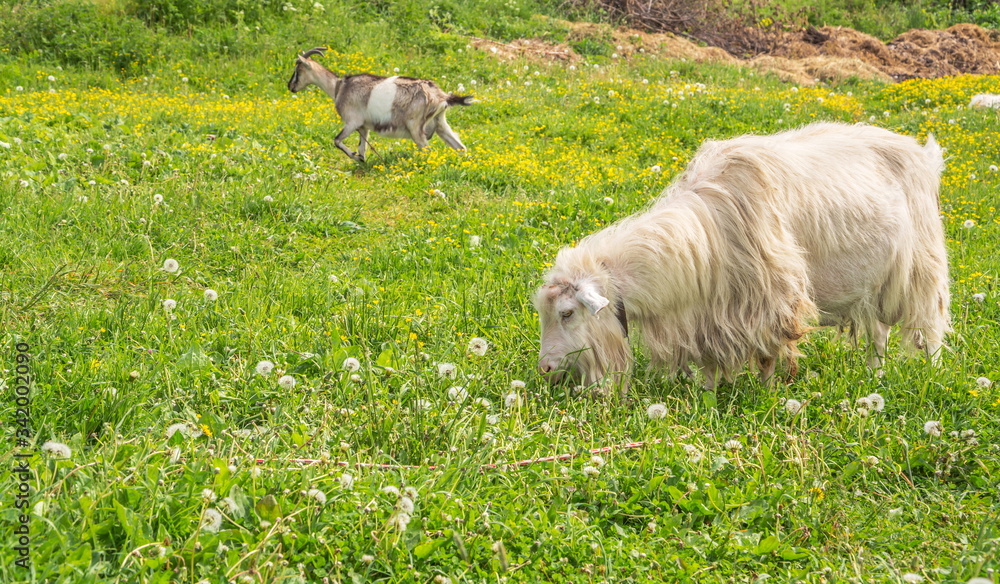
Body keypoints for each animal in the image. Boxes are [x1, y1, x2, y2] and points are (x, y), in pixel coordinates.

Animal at [287, 47, 475, 162]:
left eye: (297, 70)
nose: (290, 86)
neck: (339, 88)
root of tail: (440, 96)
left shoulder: (353, 121)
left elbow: (337, 141)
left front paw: (355, 157)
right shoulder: (363, 127)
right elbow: (362, 147)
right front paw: (361, 159)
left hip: (415, 128)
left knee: (429, 151)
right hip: (440, 123)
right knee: (461, 148)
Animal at [535, 122, 951, 390]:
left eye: (567, 313)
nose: (546, 368)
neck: (705, 235)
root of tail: (923, 153)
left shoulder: (770, 303)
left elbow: (768, 356)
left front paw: (767, 395)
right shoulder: (707, 314)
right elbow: (708, 362)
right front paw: (706, 395)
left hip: (921, 268)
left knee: (929, 326)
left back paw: (931, 375)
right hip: (875, 282)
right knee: (878, 333)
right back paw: (874, 376)